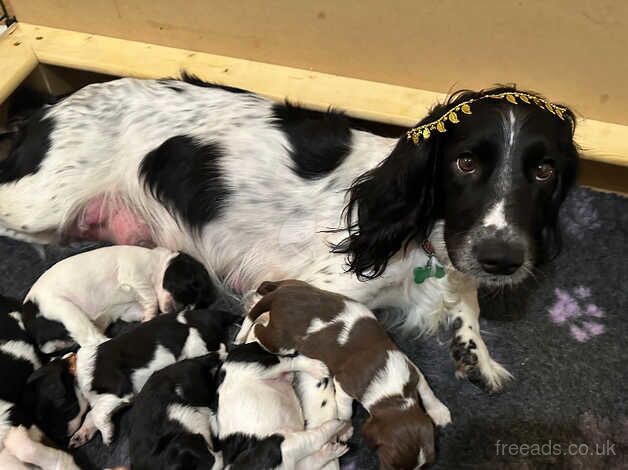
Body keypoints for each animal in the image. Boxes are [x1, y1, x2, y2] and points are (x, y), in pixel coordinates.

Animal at [22, 246, 216, 352]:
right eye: (188, 288)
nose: (180, 310)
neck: (156, 262)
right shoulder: (134, 275)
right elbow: (151, 297)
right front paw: (152, 315)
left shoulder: (128, 310)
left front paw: (152, 318)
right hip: (65, 310)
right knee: (92, 340)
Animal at [217, 342, 350, 470]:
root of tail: (232, 353)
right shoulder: (294, 457)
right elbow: (313, 455)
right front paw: (333, 450)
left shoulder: (280, 444)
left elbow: (316, 437)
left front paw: (338, 424)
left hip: (262, 366)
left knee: (290, 361)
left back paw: (317, 368)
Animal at [236, 280, 452, 468]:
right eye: (390, 465)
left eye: (423, 468)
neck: (394, 395)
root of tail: (280, 296)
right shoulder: (345, 385)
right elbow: (345, 411)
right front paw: (346, 429)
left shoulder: (411, 369)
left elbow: (427, 390)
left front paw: (439, 411)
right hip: (279, 341)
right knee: (257, 327)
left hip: (296, 285)